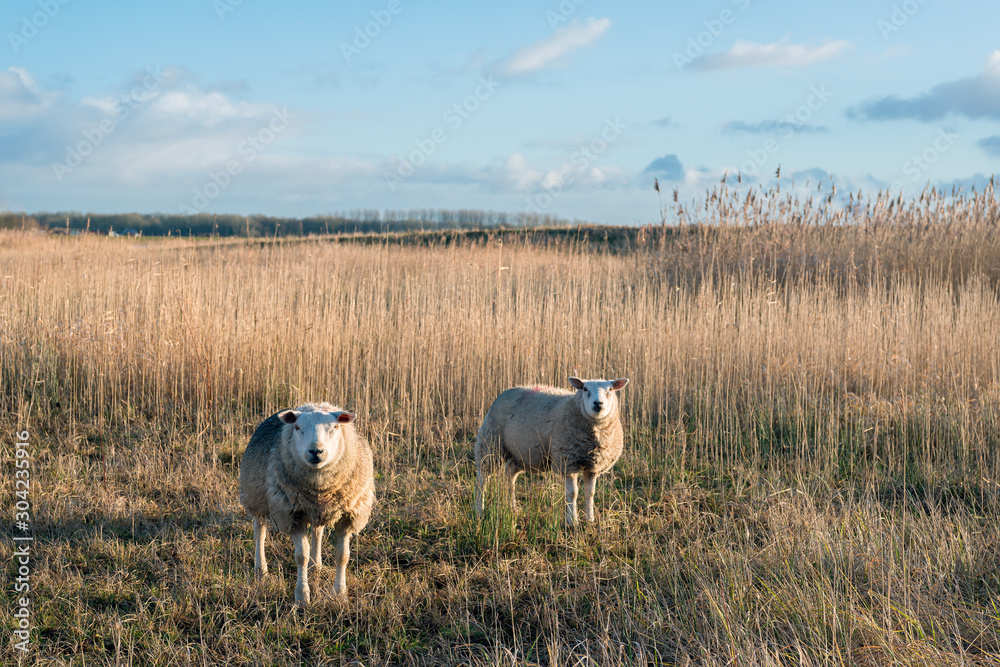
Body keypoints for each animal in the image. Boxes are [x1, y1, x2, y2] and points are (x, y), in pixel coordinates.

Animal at [239, 402, 374, 604]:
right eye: (297, 428)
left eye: (335, 427)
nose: (316, 451)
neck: (320, 487)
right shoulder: (292, 515)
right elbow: (300, 556)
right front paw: (302, 597)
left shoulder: (348, 515)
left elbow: (342, 556)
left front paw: (340, 594)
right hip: (256, 497)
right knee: (259, 533)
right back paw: (261, 571)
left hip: (316, 510)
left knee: (317, 532)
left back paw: (315, 567)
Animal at [474, 377, 629, 527]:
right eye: (585, 389)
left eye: (610, 390)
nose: (598, 403)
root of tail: (505, 391)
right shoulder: (567, 460)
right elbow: (572, 493)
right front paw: (572, 522)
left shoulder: (593, 466)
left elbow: (590, 493)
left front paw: (589, 520)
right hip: (490, 443)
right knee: (482, 479)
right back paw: (479, 510)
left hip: (521, 453)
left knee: (510, 473)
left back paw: (512, 508)